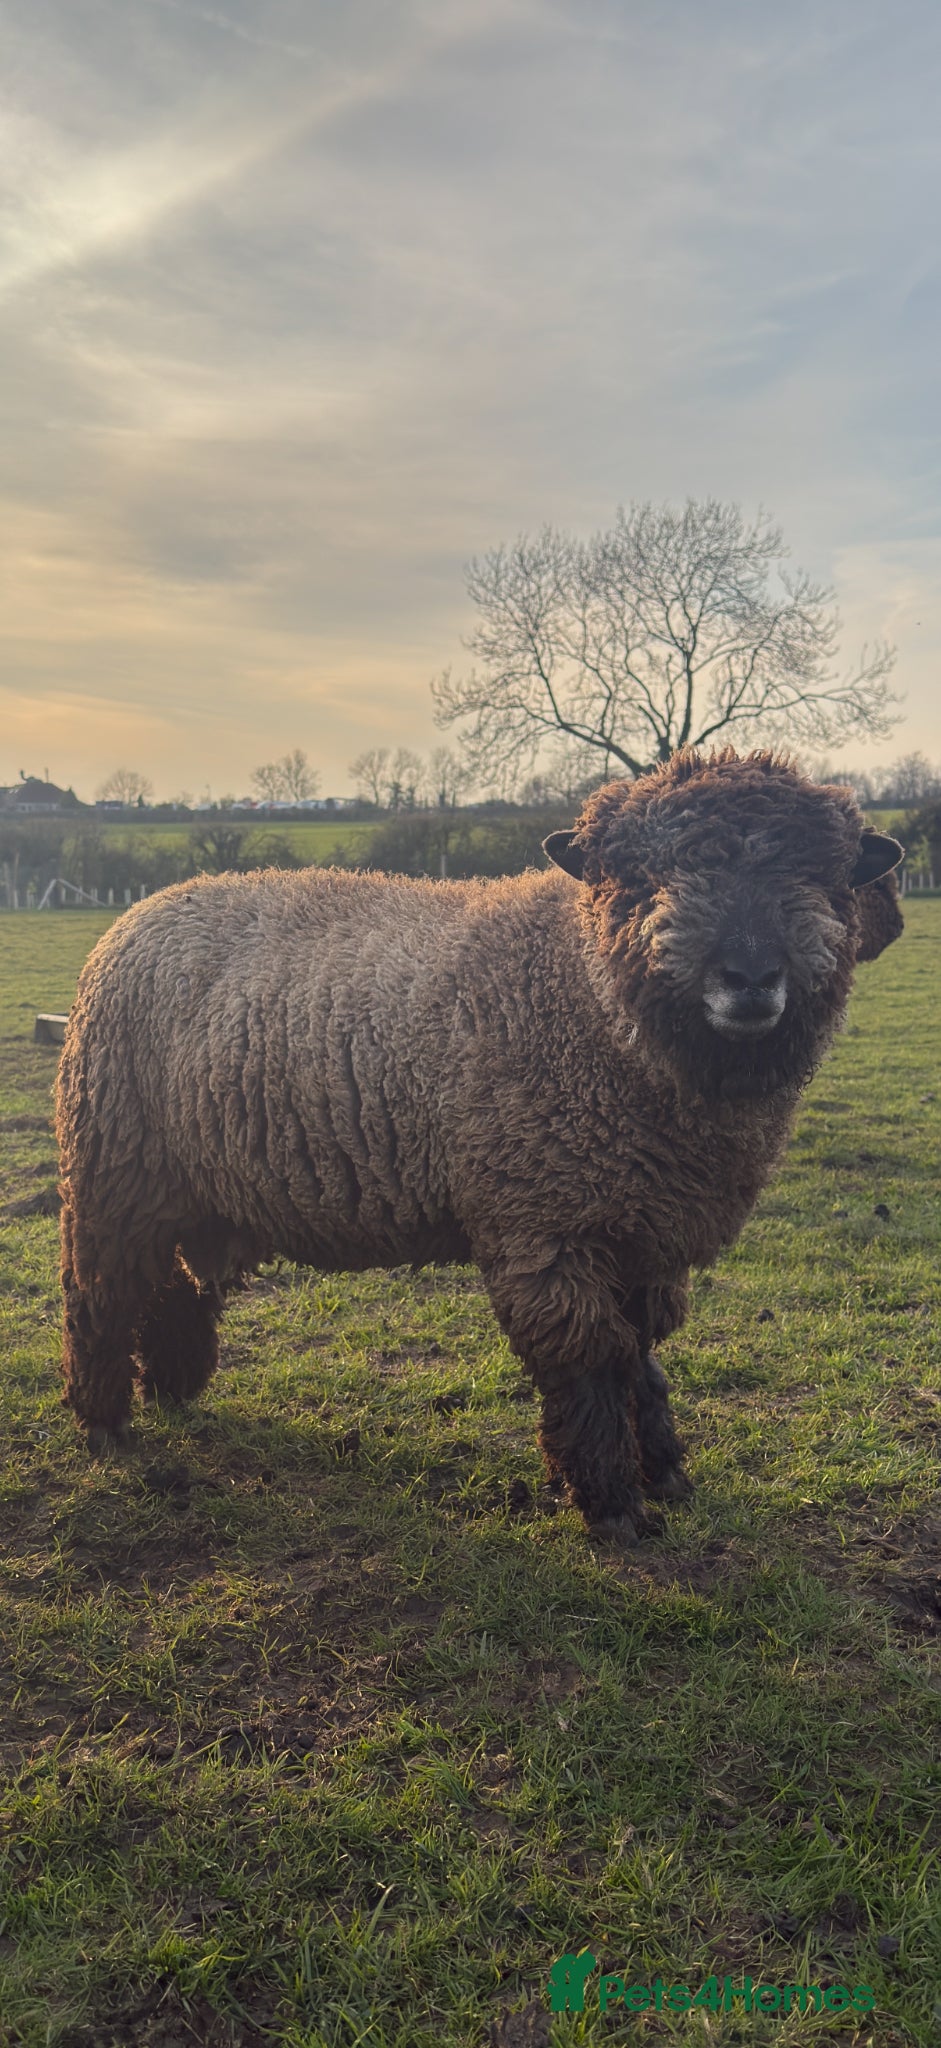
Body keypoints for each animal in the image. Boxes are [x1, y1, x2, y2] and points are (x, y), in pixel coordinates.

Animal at [56, 748, 902, 1542]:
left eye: (821, 876)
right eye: (640, 877)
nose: (749, 975)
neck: (584, 992)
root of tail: (148, 909)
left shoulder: (642, 1229)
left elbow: (640, 1356)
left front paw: (663, 1471)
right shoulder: (545, 1224)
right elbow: (590, 1359)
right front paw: (609, 1502)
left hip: (188, 1189)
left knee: (170, 1286)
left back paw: (172, 1390)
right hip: (111, 1171)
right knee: (101, 1292)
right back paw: (105, 1424)